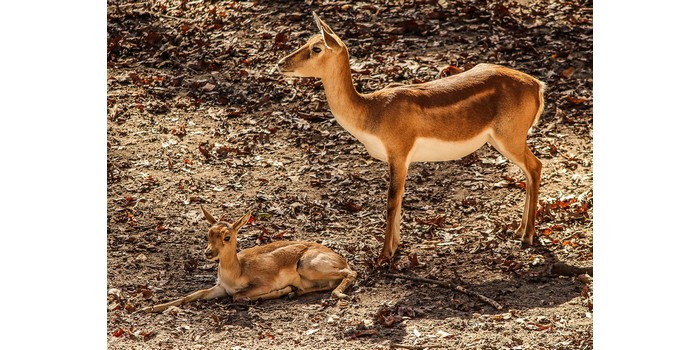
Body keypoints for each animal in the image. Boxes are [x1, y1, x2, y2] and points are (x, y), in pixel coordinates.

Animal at [140, 205, 358, 312]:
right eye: (209, 233)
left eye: (227, 236)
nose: (208, 253)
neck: (237, 272)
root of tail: (340, 257)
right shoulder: (220, 287)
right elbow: (193, 294)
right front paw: (151, 308)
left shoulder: (261, 284)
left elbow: (238, 296)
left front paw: (281, 290)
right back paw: (295, 292)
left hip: (308, 265)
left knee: (351, 273)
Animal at [278, 13, 548, 266]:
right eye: (306, 41)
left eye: (316, 48)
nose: (281, 62)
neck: (372, 113)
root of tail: (538, 86)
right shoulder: (402, 160)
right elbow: (399, 198)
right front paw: (395, 248)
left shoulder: (398, 152)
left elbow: (391, 200)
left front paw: (383, 257)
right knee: (529, 171)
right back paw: (518, 230)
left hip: (509, 136)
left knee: (536, 166)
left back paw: (527, 237)